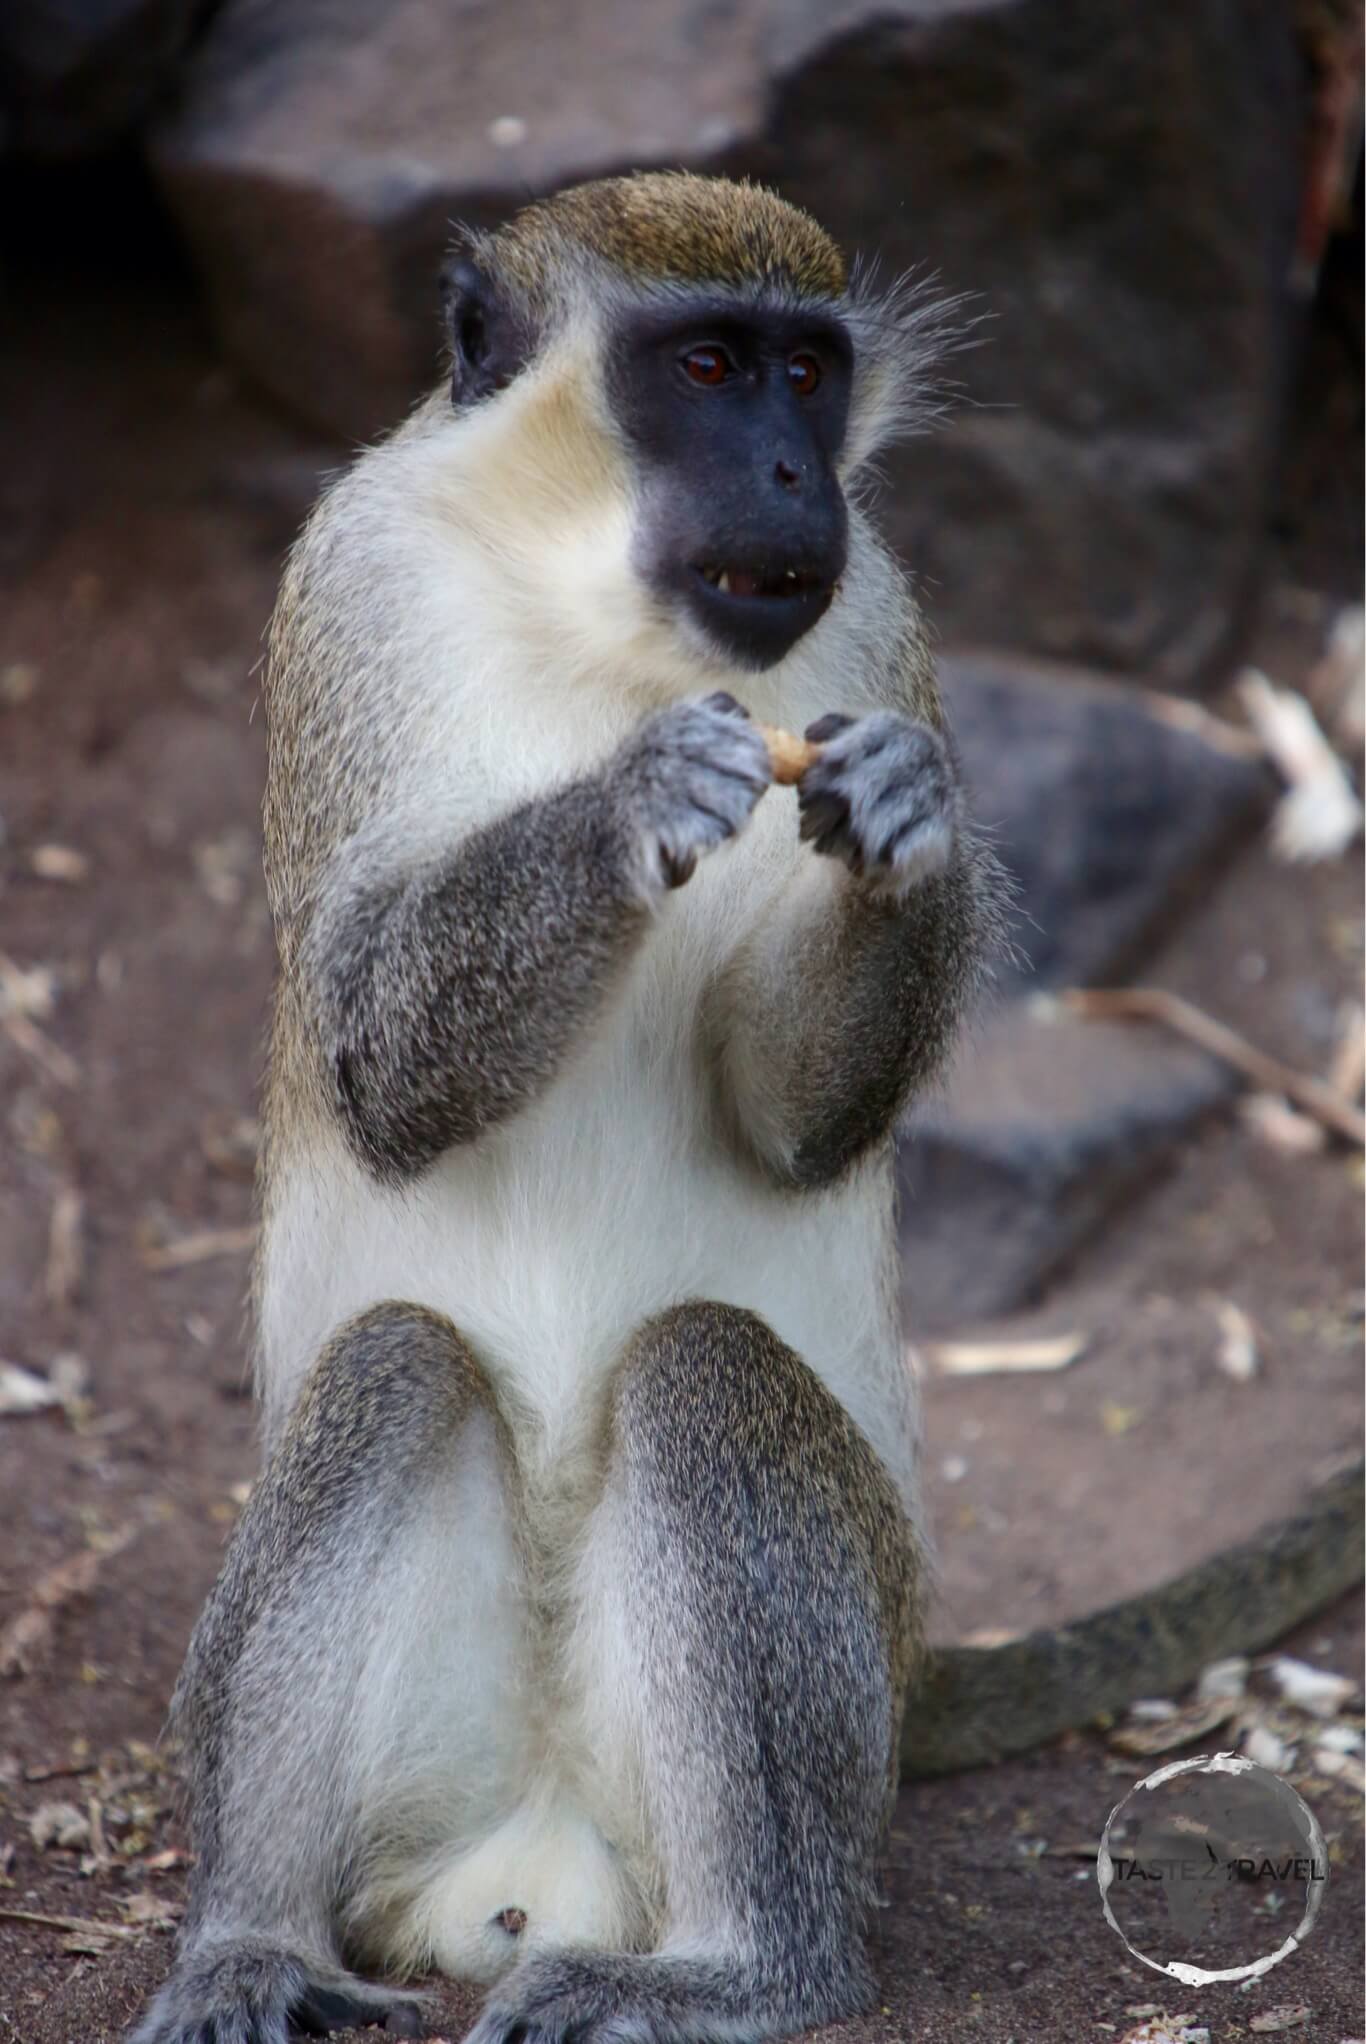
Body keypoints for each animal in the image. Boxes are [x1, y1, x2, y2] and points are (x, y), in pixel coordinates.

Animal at [127, 171, 997, 2043]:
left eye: (809, 373)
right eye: (708, 364)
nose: (792, 476)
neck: (598, 619)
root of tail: (533, 1857)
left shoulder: (883, 620)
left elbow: (794, 1127)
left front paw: (904, 818)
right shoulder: (348, 587)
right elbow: (368, 1048)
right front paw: (627, 802)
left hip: (859, 1657)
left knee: (702, 1370)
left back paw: (745, 1966)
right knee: (393, 1365)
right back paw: (250, 1940)